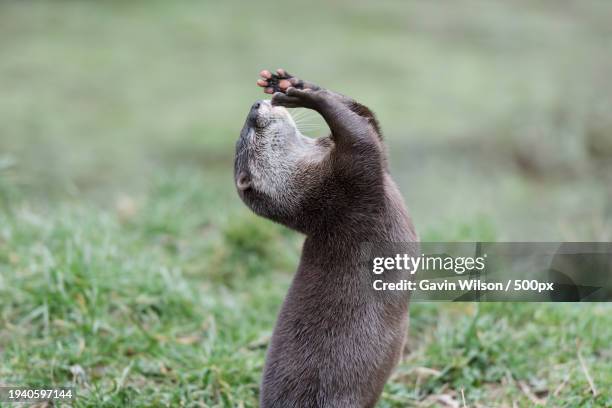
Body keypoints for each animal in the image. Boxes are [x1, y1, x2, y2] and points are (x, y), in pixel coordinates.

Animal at [233, 68, 416, 406]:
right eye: (250, 131)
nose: (254, 106)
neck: (316, 193)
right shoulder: (352, 184)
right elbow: (359, 136)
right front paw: (310, 97)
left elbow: (368, 121)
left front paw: (294, 83)